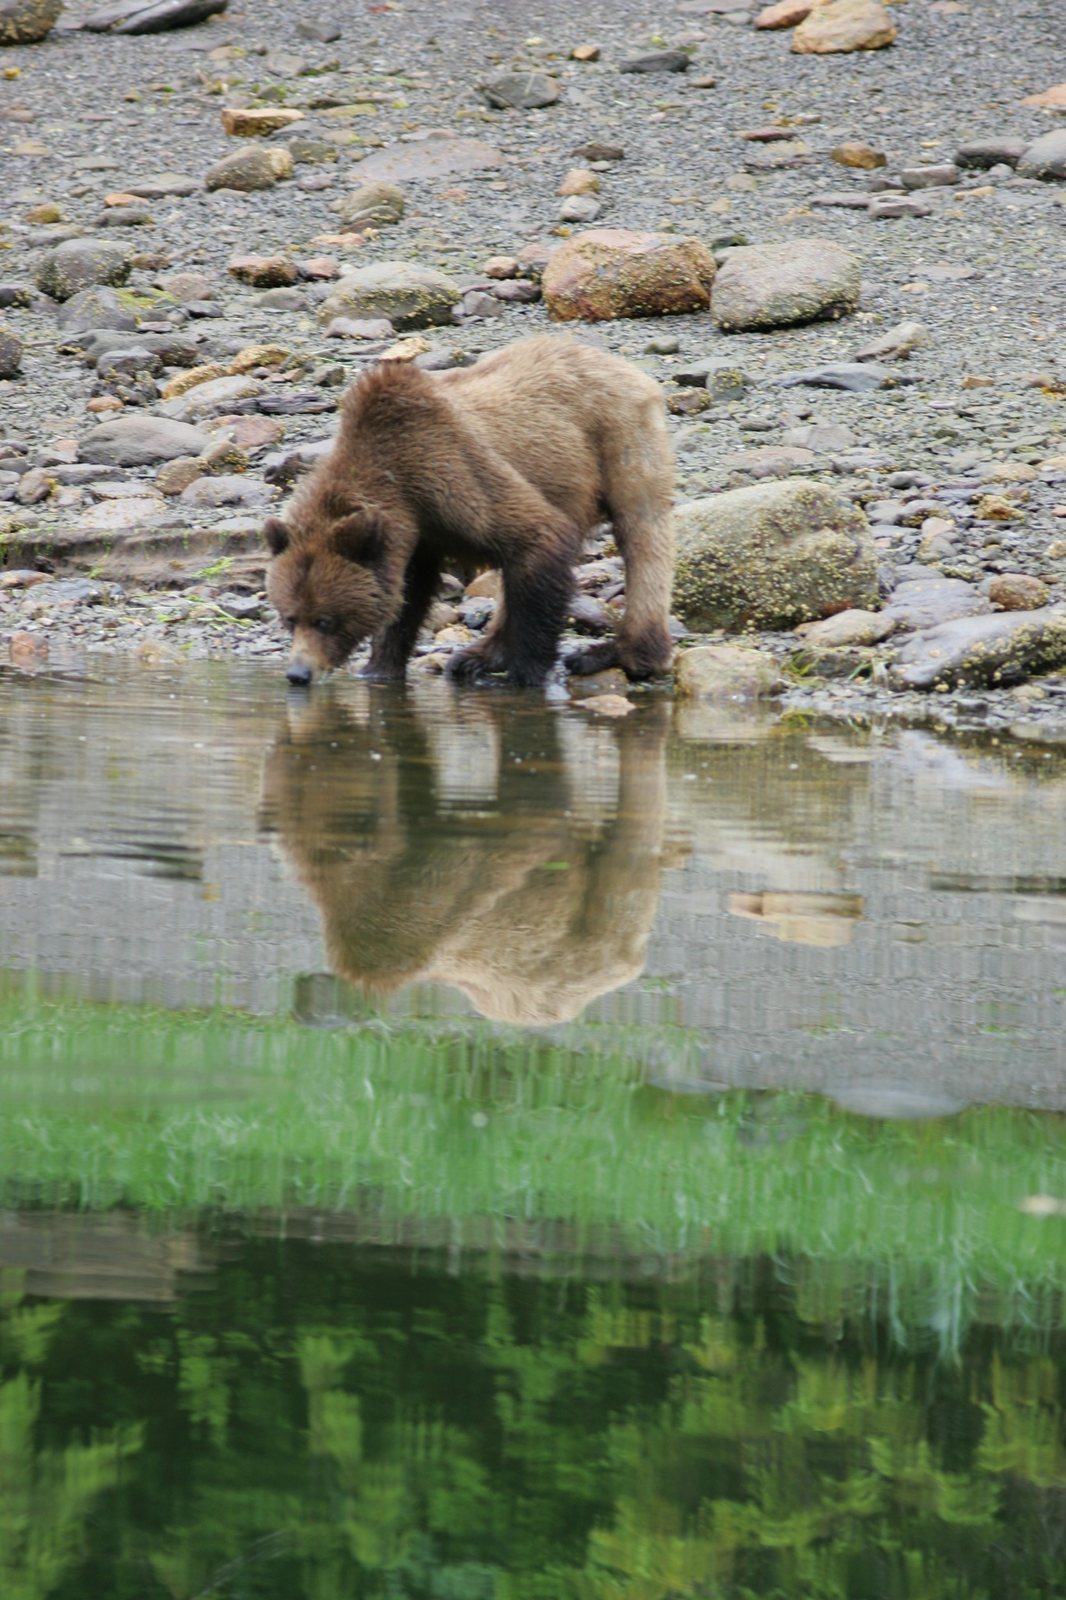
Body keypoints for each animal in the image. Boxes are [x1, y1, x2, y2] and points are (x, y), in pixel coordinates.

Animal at [262, 334, 675, 688]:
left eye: (325, 621)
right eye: (290, 617)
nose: (298, 674)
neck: (401, 486)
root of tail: (621, 365)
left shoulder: (451, 473)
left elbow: (539, 533)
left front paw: (525, 675)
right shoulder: (418, 536)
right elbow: (408, 595)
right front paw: (378, 668)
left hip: (619, 438)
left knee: (642, 534)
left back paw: (620, 654)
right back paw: (479, 656)